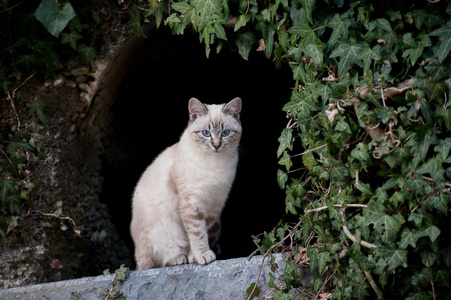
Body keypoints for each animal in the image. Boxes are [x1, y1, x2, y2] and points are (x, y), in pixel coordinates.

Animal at [131, 98, 244, 270]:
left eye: (225, 133)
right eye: (206, 133)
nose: (216, 145)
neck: (216, 165)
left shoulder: (213, 207)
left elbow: (201, 233)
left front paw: (195, 257)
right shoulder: (192, 204)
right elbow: (197, 234)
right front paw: (203, 255)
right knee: (156, 262)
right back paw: (178, 258)